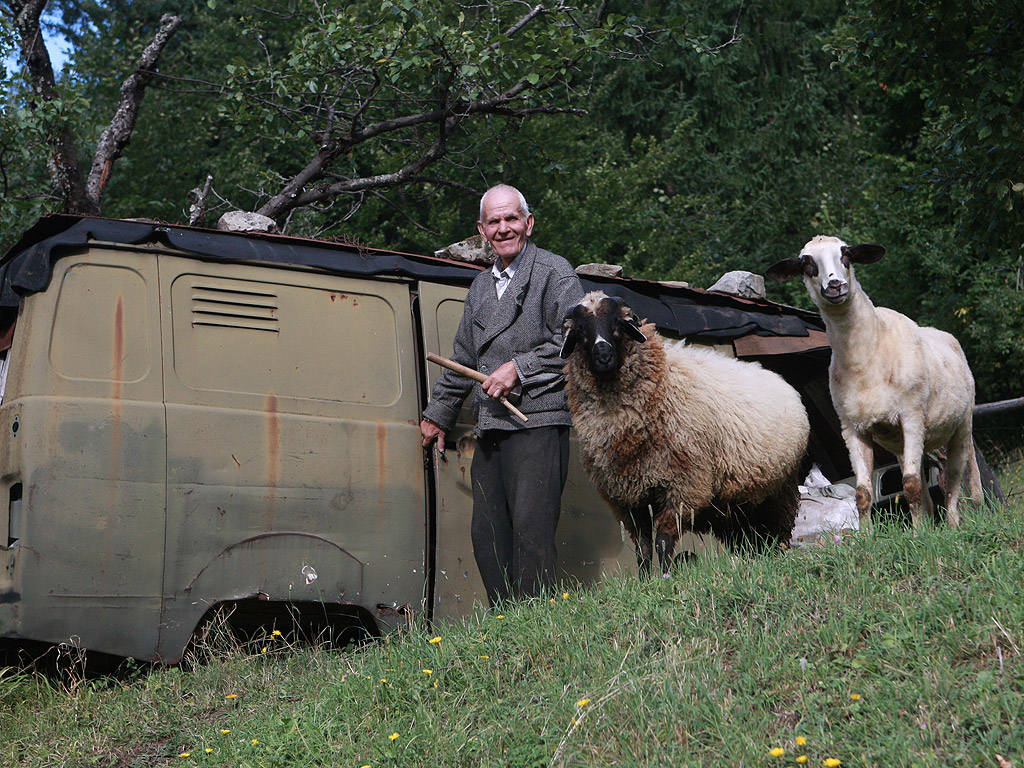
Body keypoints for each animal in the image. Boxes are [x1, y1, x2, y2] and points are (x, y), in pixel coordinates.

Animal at [561, 290, 806, 573]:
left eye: (618, 325)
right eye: (580, 331)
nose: (603, 357)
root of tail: (779, 379)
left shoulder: (681, 486)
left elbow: (662, 541)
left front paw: (667, 576)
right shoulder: (627, 498)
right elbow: (643, 547)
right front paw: (646, 579)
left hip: (780, 491)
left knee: (777, 534)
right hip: (735, 506)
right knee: (748, 539)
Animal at [770, 237, 983, 532]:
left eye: (846, 254)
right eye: (806, 263)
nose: (835, 286)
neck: (866, 357)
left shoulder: (911, 415)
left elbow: (911, 485)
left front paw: (916, 536)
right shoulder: (853, 429)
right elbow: (863, 493)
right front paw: (869, 536)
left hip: (961, 425)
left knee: (956, 478)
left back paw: (954, 522)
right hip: (912, 441)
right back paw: (931, 524)